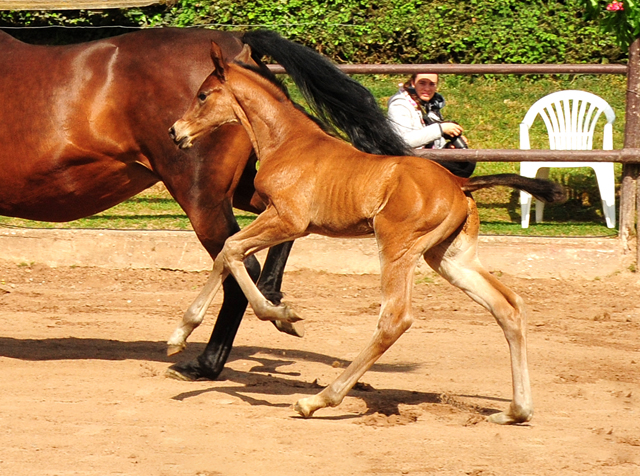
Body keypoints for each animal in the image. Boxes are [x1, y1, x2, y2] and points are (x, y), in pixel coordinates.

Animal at [170, 43, 564, 424]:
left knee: (395, 319)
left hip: (397, 247)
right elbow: (228, 253)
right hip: (450, 257)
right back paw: (516, 411)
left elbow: (230, 249)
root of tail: (459, 182)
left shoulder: (287, 219)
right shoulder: (278, 220)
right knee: (508, 306)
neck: (287, 142)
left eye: (202, 95)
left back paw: (318, 401)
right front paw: (183, 335)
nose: (176, 132)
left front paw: (280, 316)